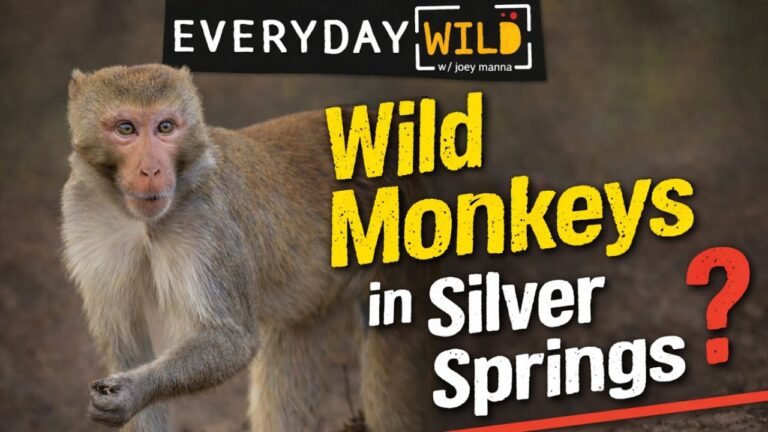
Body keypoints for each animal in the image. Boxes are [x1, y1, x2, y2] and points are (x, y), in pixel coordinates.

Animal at [61, 64, 433, 432]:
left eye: (165, 127)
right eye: (126, 129)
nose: (151, 169)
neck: (143, 223)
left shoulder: (210, 225)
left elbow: (232, 340)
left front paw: (133, 391)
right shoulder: (85, 220)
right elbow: (127, 346)